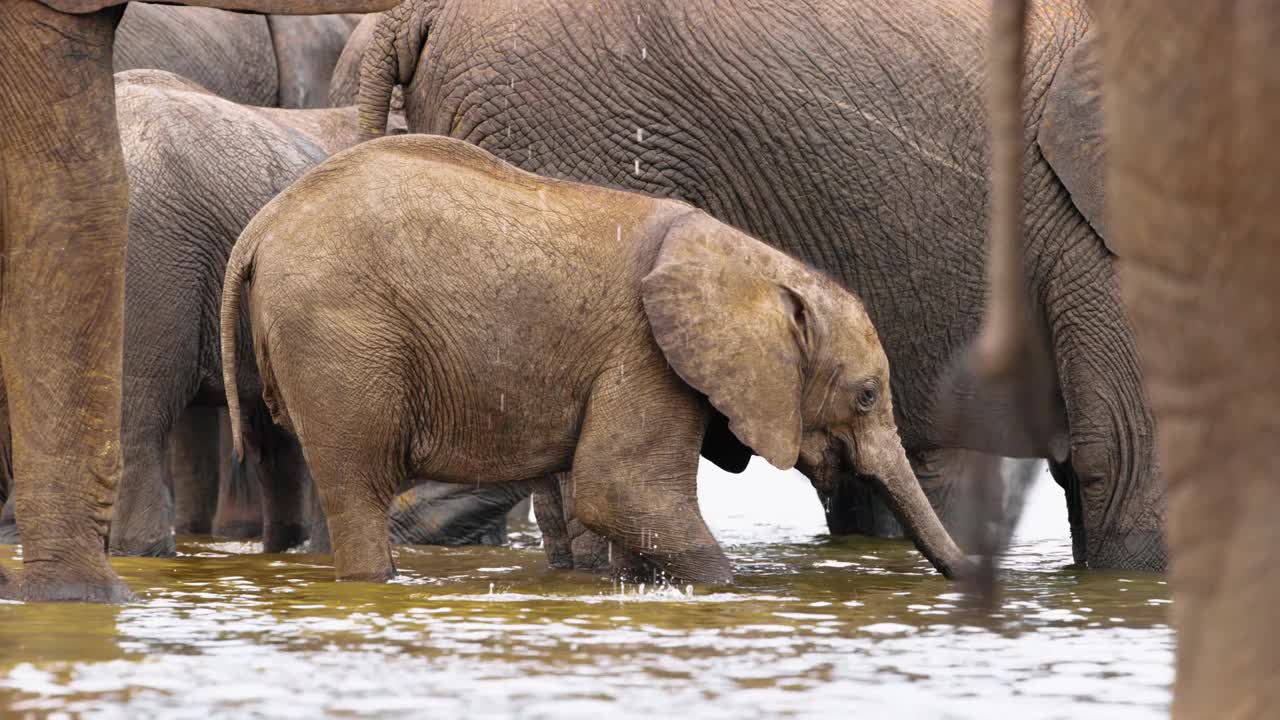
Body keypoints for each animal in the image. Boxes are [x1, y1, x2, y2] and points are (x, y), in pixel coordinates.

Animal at [222, 134, 967, 584]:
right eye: (866, 395)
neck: (754, 264)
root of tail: (259, 227)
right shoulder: (644, 352)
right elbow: (622, 490)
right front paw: (729, 589)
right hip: (341, 337)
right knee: (360, 487)